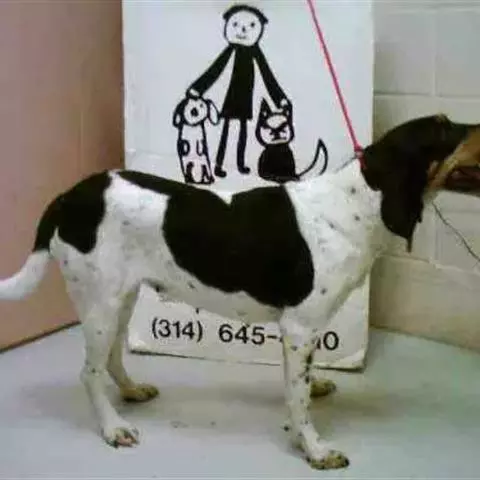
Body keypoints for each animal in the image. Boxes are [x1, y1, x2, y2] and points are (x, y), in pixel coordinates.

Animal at [1, 114, 480, 470]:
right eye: (445, 129)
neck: (356, 204)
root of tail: (69, 195)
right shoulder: (299, 327)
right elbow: (297, 398)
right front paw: (314, 449)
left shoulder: (301, 334)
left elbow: (300, 382)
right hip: (101, 303)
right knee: (89, 372)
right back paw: (112, 428)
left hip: (120, 298)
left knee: (112, 359)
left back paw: (131, 392)